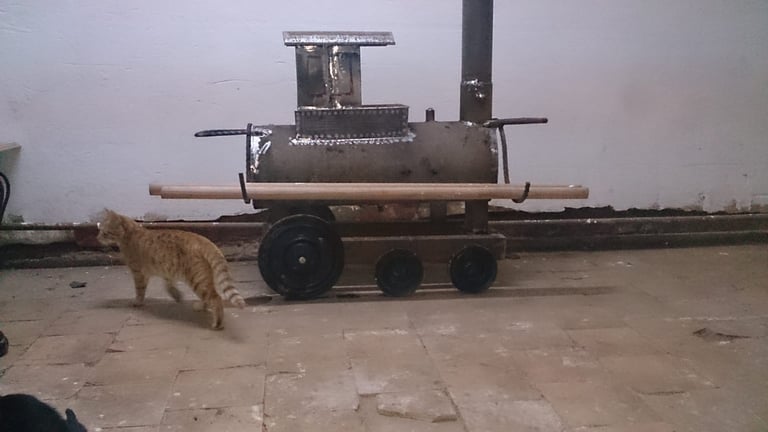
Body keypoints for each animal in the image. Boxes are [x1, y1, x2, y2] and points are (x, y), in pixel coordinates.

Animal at [97, 209, 246, 329]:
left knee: (216, 298)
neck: (131, 232)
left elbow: (140, 291)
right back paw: (201, 306)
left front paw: (138, 302)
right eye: (100, 231)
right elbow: (169, 285)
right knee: (210, 297)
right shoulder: (167, 270)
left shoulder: (138, 273)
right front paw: (176, 295)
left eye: (105, 233)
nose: (97, 238)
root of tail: (202, 239)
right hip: (203, 279)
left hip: (197, 280)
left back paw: (218, 323)